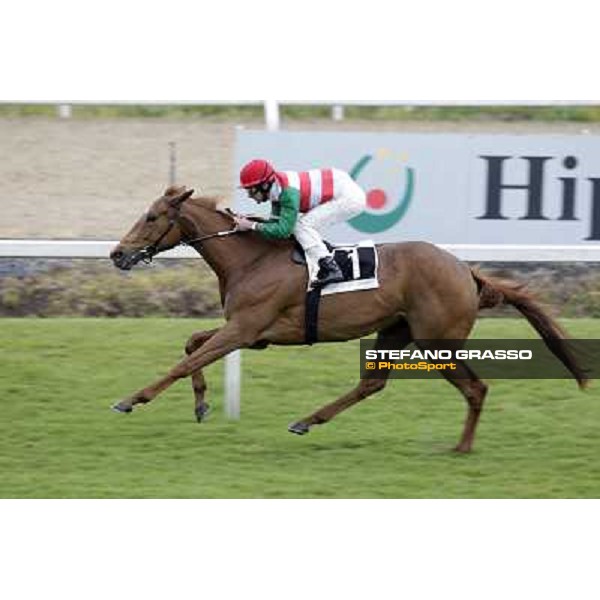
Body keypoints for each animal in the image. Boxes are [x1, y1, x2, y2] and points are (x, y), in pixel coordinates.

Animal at [109, 185, 584, 452]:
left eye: (152, 217)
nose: (116, 253)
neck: (252, 258)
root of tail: (466, 270)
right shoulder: (250, 332)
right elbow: (192, 343)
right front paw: (202, 403)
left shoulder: (245, 328)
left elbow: (185, 360)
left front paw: (131, 399)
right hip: (394, 331)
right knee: (372, 383)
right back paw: (306, 421)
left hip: (437, 341)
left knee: (476, 388)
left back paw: (463, 447)